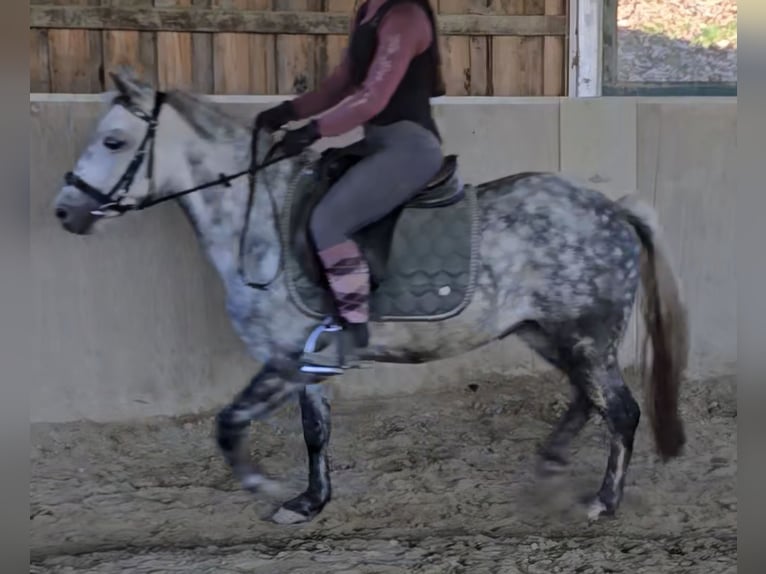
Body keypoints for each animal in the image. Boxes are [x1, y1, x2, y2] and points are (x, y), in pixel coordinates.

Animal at [52, 70, 688, 528]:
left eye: (113, 141)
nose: (65, 211)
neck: (260, 225)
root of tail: (613, 209)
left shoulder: (284, 358)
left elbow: (228, 424)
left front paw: (262, 485)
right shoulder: (308, 362)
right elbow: (315, 431)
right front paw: (309, 502)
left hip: (585, 337)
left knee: (621, 412)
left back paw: (603, 502)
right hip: (548, 333)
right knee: (587, 400)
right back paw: (551, 460)